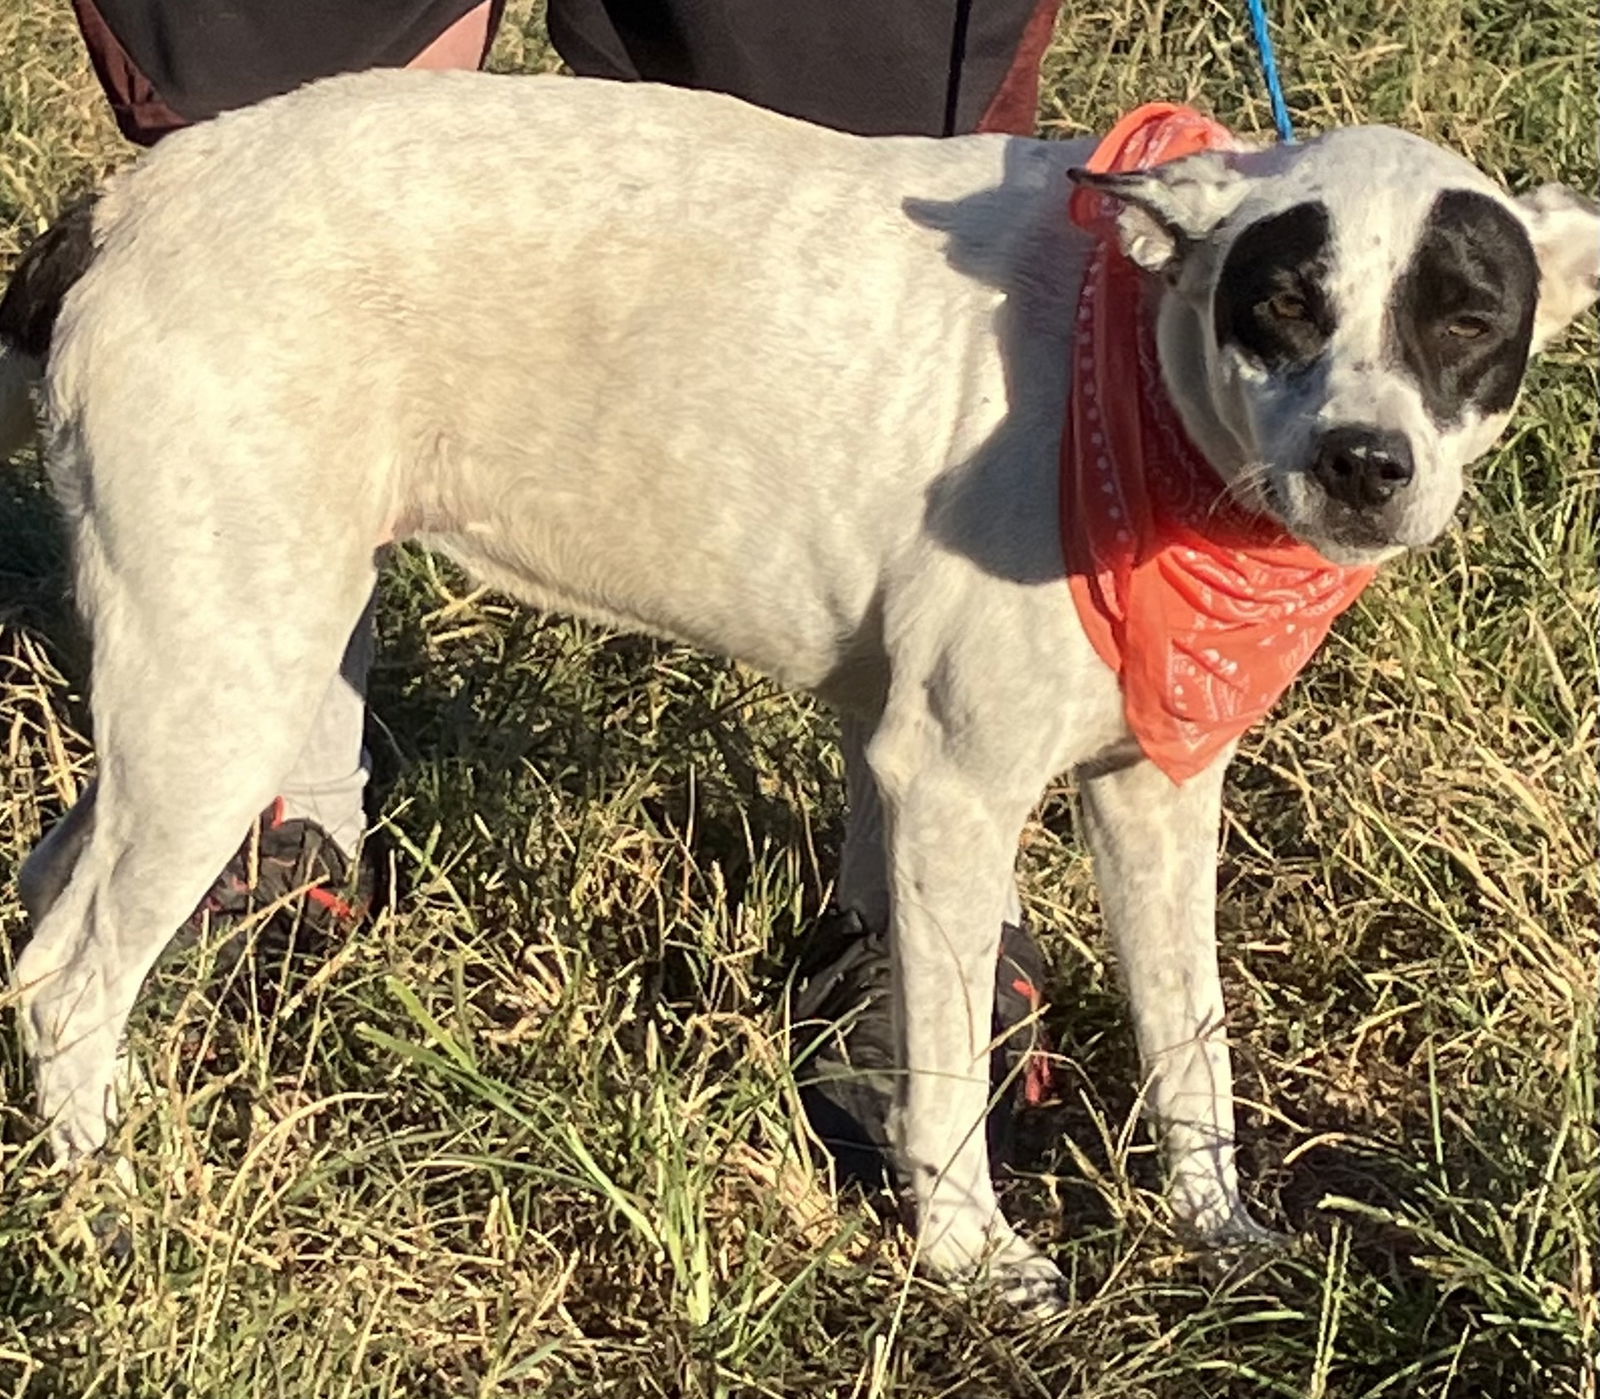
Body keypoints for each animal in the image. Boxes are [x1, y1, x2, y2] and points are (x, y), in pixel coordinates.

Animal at [0, 70, 1593, 1306]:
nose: (1364, 465)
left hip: (188, 679)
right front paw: (973, 1258)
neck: (1136, 360)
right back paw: (122, 1201)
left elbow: (1187, 1049)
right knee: (70, 974)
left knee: (43, 902)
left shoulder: (1155, 791)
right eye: (1285, 305)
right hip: (232, 681)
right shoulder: (949, 789)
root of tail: (123, 201)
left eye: (1468, 320)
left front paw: (1219, 1235)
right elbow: (946, 1072)